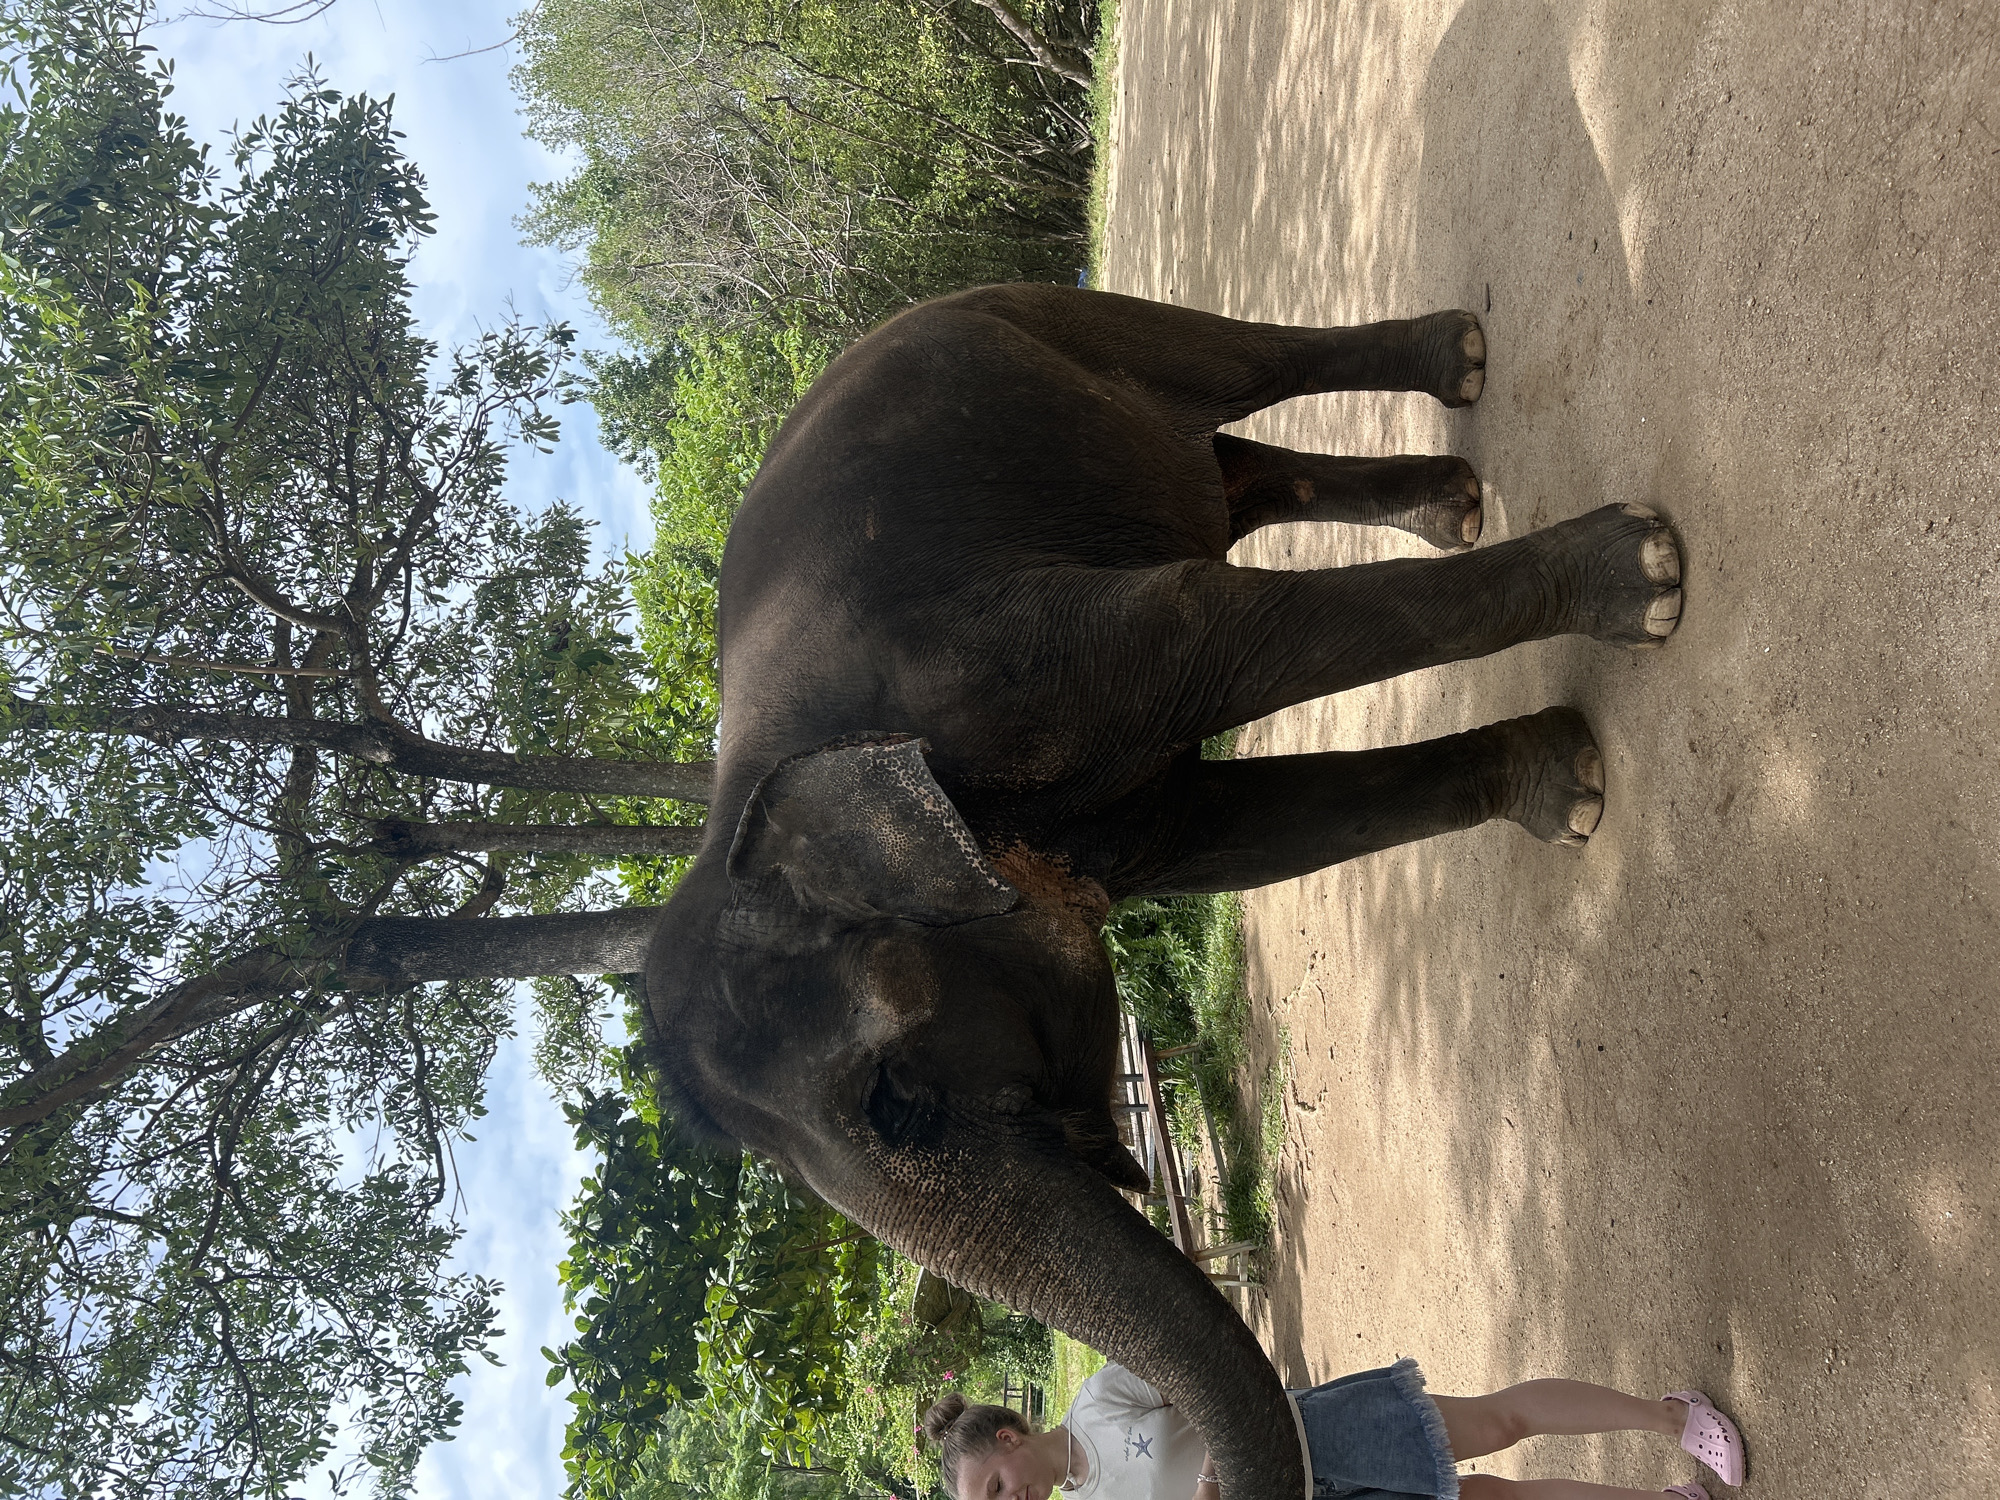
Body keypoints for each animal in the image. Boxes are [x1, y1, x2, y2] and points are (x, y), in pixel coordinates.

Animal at [642, 285, 1682, 1500]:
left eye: (896, 1101)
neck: (736, 817)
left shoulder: (1005, 669)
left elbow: (1216, 631)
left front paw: (1644, 584)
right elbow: (1233, 834)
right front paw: (1569, 788)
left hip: (1029, 316)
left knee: (1221, 370)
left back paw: (1466, 372)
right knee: (1233, 477)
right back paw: (1456, 499)